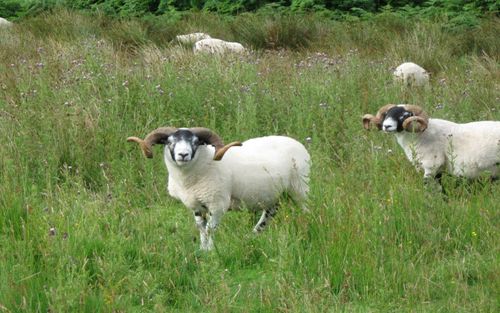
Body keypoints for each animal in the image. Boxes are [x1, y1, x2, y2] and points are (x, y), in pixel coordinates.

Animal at [127, 125, 310, 250]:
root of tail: (298, 143)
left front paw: (210, 251)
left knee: (306, 209)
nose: (183, 155)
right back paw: (254, 234)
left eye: (196, 142)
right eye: (170, 142)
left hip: (300, 187)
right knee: (270, 213)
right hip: (272, 194)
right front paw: (202, 249)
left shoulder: (217, 204)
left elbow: (210, 229)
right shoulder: (196, 206)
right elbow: (201, 228)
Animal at [364, 103, 500, 184]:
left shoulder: (431, 166)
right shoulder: (438, 171)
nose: (386, 126)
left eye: (405, 115)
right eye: (387, 114)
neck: (419, 136)